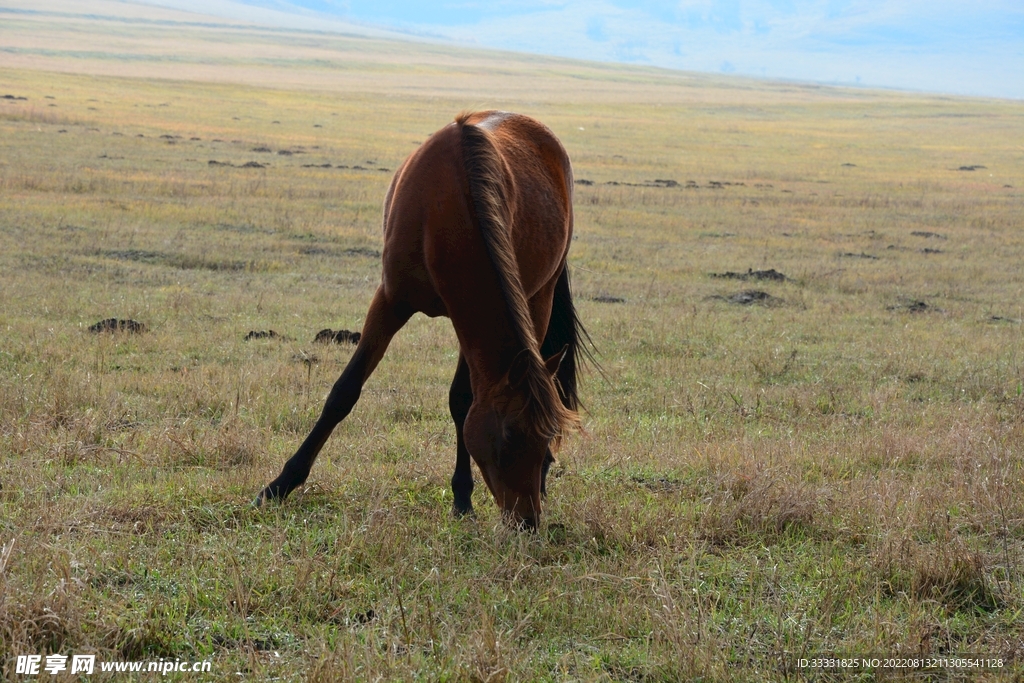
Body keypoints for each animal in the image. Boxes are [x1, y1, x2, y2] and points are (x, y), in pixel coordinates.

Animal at [254, 111, 590, 529]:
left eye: (545, 437)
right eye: (510, 435)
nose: (527, 522)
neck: (447, 210)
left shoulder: (469, 317)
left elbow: (462, 401)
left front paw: (462, 498)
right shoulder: (390, 302)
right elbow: (344, 392)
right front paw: (280, 485)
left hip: (538, 296)